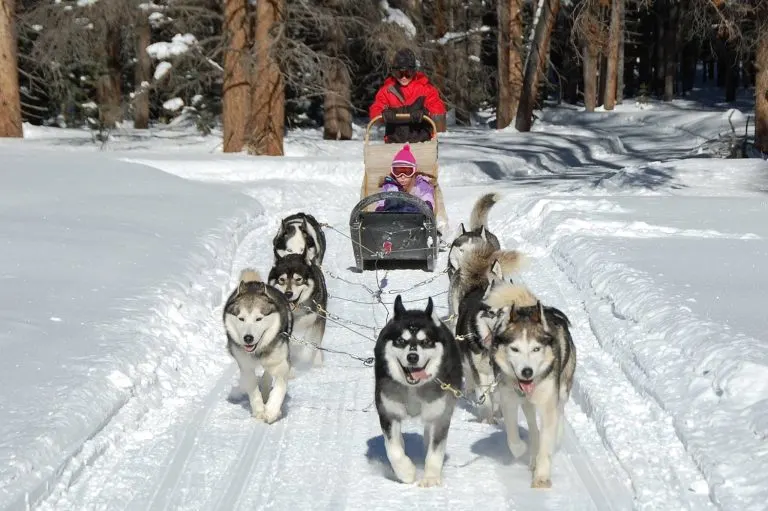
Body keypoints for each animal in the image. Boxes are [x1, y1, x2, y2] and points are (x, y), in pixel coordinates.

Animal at [374, 296, 460, 488]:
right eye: (401, 341)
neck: (413, 388)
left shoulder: (439, 416)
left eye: (426, 342)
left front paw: (431, 478)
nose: (412, 357)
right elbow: (393, 449)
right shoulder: (388, 413)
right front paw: (406, 472)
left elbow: (435, 451)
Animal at [486, 282, 576, 490]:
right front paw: (522, 449)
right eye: (515, 349)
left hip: (562, 390)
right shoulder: (509, 401)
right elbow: (512, 436)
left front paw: (542, 476)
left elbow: (546, 441)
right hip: (526, 403)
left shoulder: (548, 404)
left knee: (559, 412)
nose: (527, 371)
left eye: (536, 349)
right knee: (532, 425)